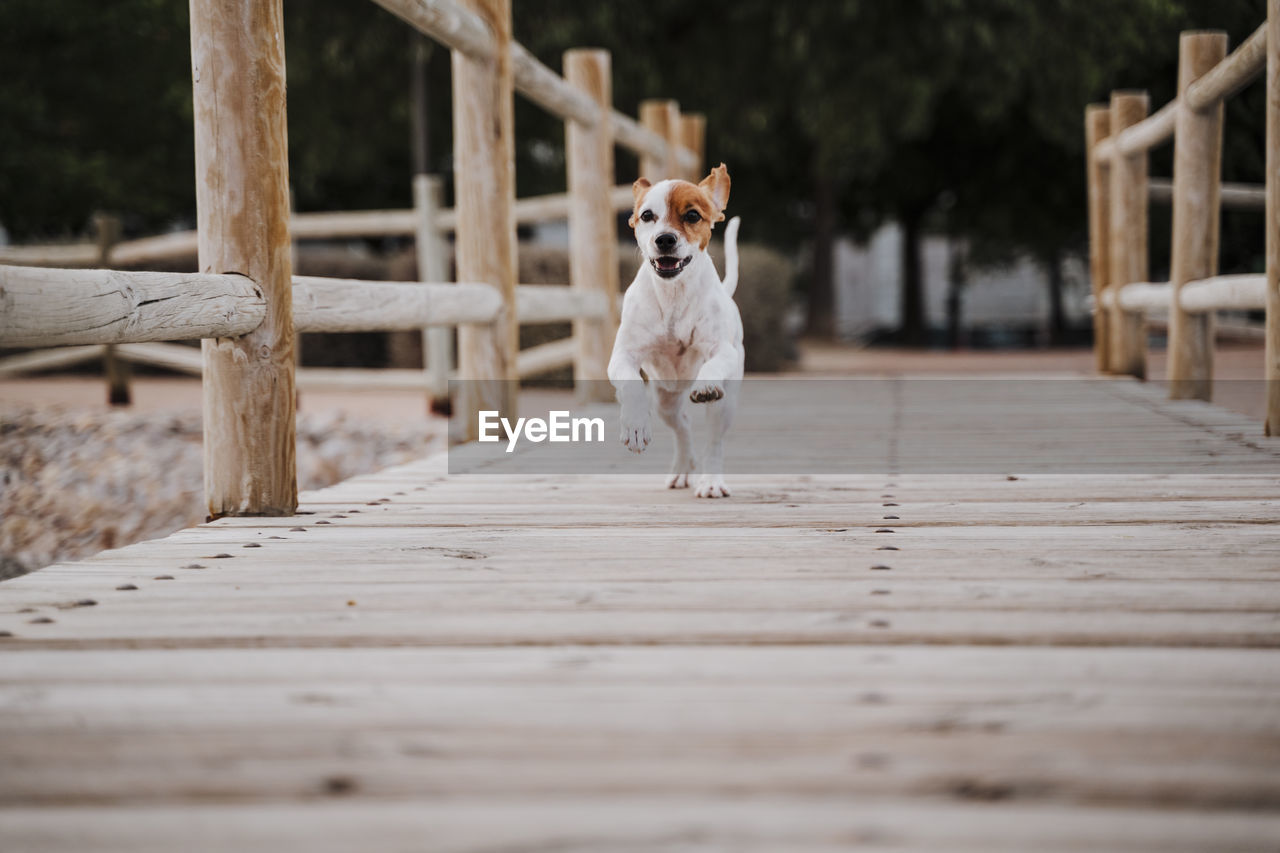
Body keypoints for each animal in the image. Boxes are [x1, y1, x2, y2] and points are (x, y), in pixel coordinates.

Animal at [606, 162, 747, 499]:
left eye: (693, 215)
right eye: (647, 215)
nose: (665, 239)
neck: (673, 294)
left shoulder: (722, 351)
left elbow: (713, 364)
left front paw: (706, 382)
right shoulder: (623, 356)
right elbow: (631, 384)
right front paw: (634, 425)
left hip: (724, 406)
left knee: (714, 442)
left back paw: (711, 481)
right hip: (665, 401)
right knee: (682, 426)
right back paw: (683, 468)